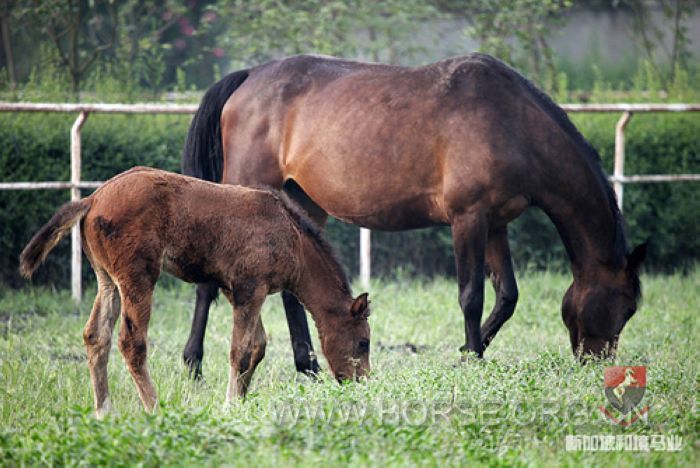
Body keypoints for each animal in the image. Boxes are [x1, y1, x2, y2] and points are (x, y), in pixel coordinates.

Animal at [20, 167, 372, 416]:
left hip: (107, 280)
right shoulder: (250, 289)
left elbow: (257, 346)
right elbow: (240, 350)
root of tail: (91, 200)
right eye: (363, 342)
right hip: (138, 278)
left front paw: (241, 402)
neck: (291, 235)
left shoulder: (235, 291)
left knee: (96, 336)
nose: (362, 384)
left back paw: (104, 411)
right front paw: (230, 405)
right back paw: (154, 408)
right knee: (132, 343)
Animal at [180, 53, 644, 376]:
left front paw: (470, 350)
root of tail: (248, 77)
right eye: (626, 308)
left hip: (302, 201)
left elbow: (507, 295)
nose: (599, 364)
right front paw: (472, 358)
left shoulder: (494, 223)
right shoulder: (467, 218)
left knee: (294, 289)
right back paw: (193, 364)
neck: (512, 122)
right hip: (243, 192)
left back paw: (307, 365)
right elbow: (471, 295)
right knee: (208, 282)